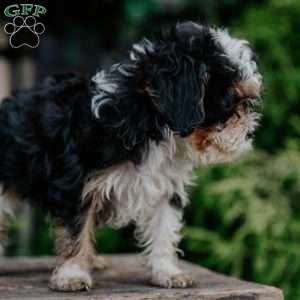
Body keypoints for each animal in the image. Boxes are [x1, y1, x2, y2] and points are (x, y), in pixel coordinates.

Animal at [0, 22, 262, 292]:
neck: (149, 121)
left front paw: (167, 272)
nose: (250, 132)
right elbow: (75, 230)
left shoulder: (165, 186)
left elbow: (164, 229)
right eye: (228, 103)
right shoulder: (75, 184)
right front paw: (72, 275)